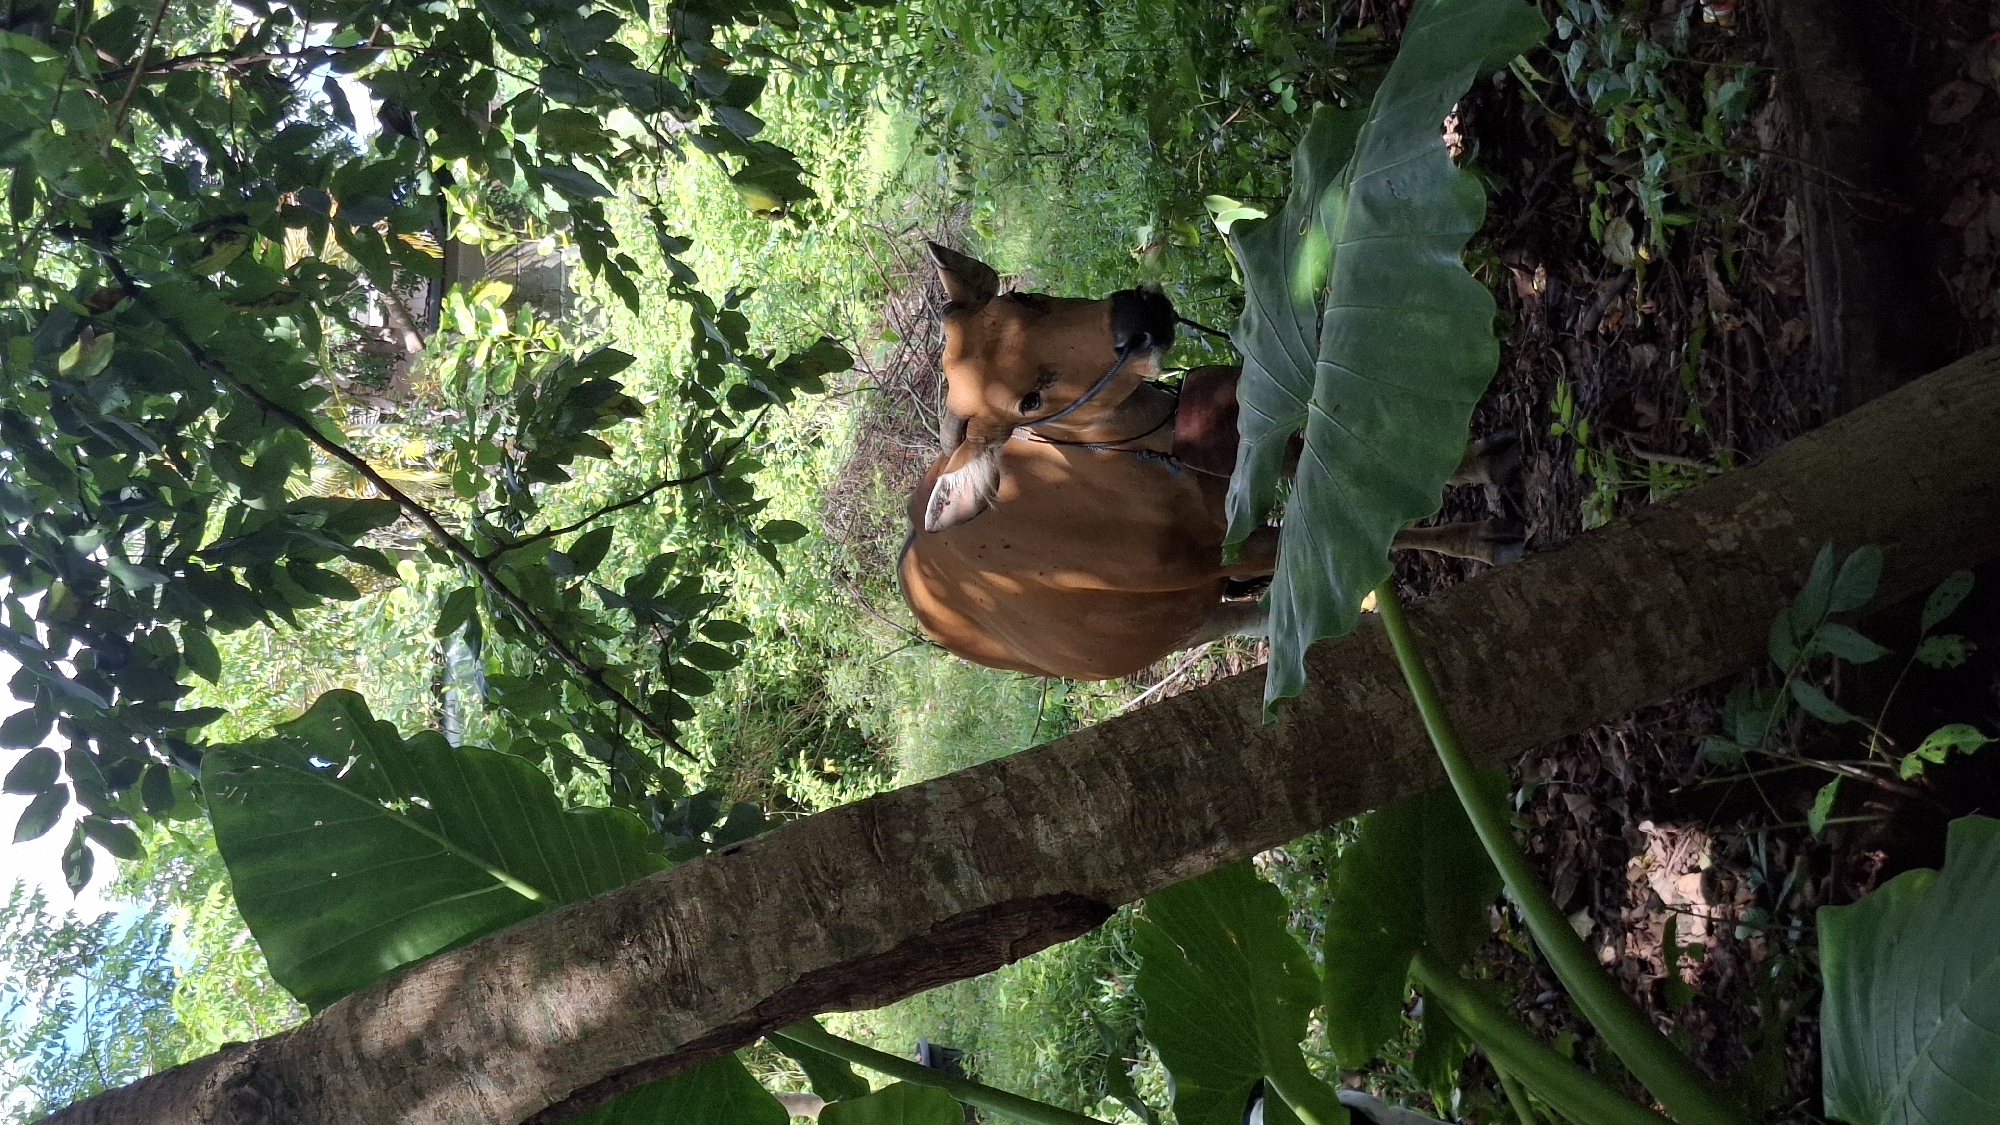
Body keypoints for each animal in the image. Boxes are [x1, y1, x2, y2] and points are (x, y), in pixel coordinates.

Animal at [898, 244, 1519, 681]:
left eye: (1023, 299)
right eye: (1027, 400)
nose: (1137, 316)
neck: (1148, 468)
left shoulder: (1244, 451)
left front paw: (1484, 462)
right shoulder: (1222, 549)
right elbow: (1361, 527)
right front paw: (1484, 539)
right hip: (1179, 625)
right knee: (1253, 618)